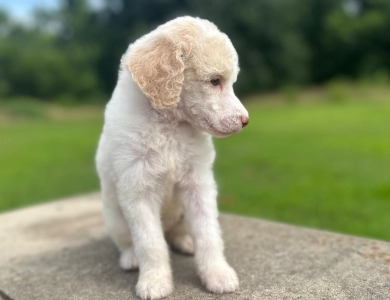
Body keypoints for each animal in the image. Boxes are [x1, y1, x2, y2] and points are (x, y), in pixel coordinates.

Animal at [96, 17, 250, 300]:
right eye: (214, 81)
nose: (245, 121)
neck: (169, 125)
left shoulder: (198, 185)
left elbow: (209, 233)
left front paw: (218, 274)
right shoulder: (138, 191)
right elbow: (150, 242)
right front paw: (155, 281)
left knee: (179, 233)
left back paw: (186, 243)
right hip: (114, 219)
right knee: (129, 242)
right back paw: (131, 259)